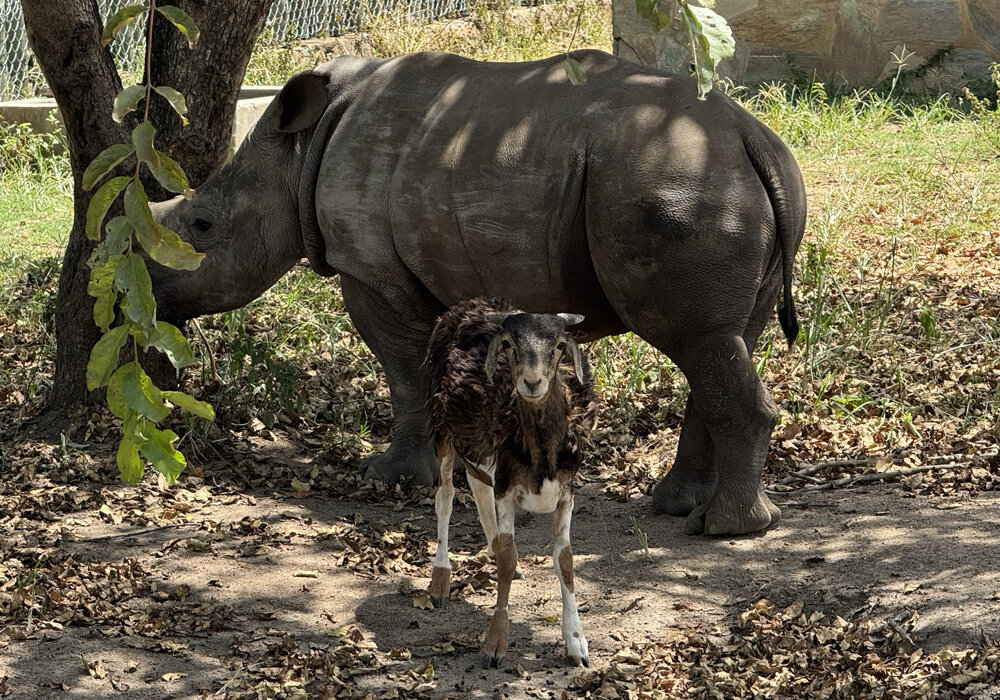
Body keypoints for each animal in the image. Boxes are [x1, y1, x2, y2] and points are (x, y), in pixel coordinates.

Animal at [150, 49, 806, 535]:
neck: (298, 153)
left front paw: (389, 477)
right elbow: (435, 365)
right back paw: (679, 508)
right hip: (726, 186)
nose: (155, 295)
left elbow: (401, 369)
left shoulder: (369, 268)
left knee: (700, 341)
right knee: (723, 344)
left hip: (679, 187)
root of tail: (754, 140)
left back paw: (726, 528)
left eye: (201, 226)